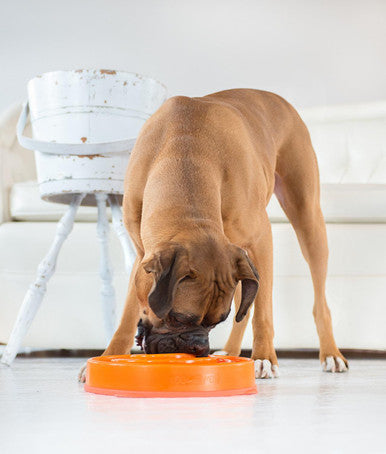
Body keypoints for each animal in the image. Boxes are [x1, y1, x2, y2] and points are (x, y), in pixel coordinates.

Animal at [80, 88, 348, 380]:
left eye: (215, 322)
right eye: (177, 318)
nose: (198, 347)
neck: (183, 157)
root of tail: (277, 98)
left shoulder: (261, 240)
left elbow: (263, 312)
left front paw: (264, 357)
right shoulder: (143, 255)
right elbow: (128, 314)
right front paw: (109, 356)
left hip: (307, 221)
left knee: (317, 302)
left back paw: (330, 354)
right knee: (246, 304)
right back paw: (231, 351)